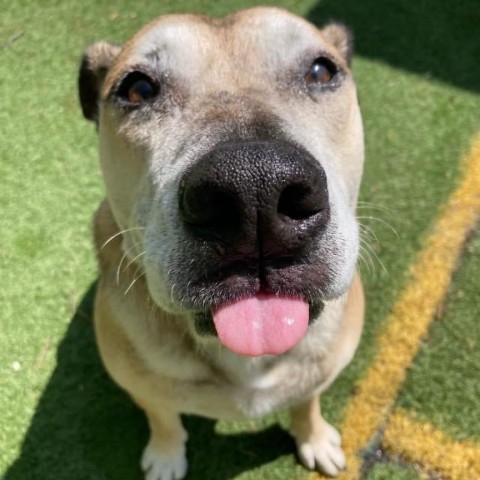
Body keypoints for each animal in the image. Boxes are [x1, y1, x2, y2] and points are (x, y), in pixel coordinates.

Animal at [78, 5, 364, 478]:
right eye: (137, 88)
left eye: (321, 71)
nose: (255, 187)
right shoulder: (141, 385)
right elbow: (162, 414)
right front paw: (166, 454)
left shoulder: (321, 372)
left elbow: (307, 401)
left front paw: (315, 437)